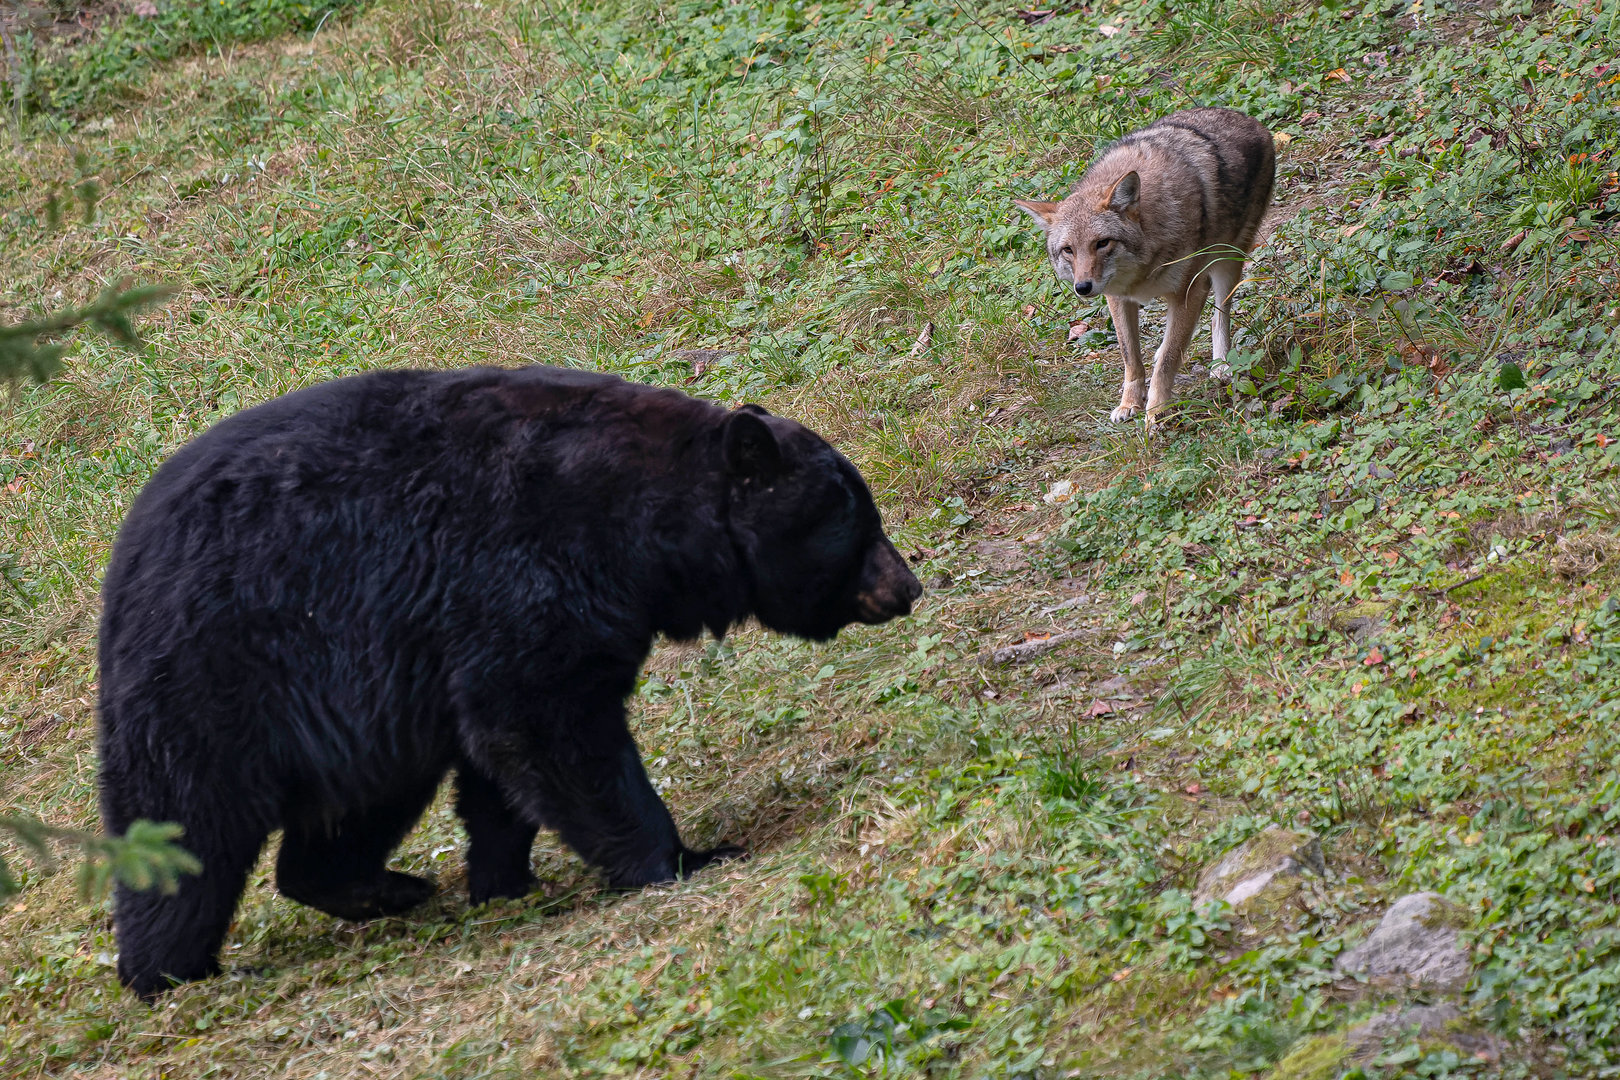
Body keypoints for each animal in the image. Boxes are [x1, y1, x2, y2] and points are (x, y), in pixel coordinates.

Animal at [97, 364, 921, 999]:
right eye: (857, 521)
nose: (907, 586)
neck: (647, 517)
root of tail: (123, 564)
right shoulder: (526, 563)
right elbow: (546, 724)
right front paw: (681, 858)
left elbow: (502, 761)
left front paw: (502, 879)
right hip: (218, 669)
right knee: (186, 820)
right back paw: (168, 970)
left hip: (354, 709)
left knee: (359, 800)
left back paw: (378, 887)